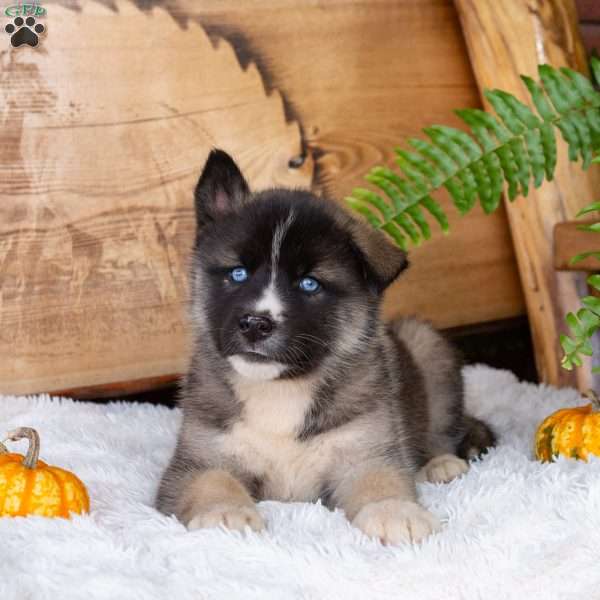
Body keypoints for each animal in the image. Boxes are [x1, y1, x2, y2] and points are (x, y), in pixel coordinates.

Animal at [156, 149, 496, 544]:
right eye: (238, 273)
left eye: (309, 284)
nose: (256, 324)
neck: (280, 391)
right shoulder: (198, 459)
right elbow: (212, 482)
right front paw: (225, 513)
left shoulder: (364, 451)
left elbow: (379, 480)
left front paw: (394, 511)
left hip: (427, 347)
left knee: (442, 432)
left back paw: (440, 464)